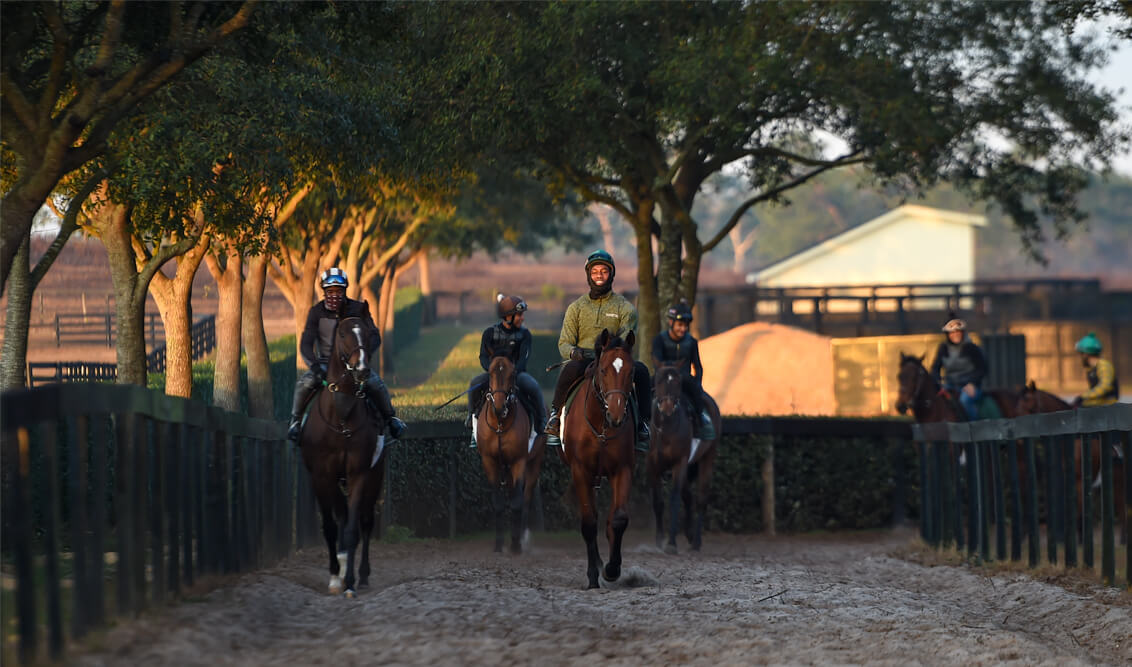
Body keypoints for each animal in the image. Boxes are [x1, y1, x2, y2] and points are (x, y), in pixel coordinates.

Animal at [298, 314, 387, 593]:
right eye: (344, 334)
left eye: (367, 333)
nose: (362, 369)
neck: (341, 418)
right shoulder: (321, 476)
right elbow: (330, 526)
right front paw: (335, 576)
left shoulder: (359, 472)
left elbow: (351, 530)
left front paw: (349, 582)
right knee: (342, 515)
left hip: (375, 476)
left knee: (365, 522)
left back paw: (363, 574)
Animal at [473, 351, 547, 554]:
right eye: (491, 372)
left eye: (512, 373)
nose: (499, 406)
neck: (500, 423)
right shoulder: (490, 461)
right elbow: (498, 503)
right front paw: (498, 544)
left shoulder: (518, 460)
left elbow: (517, 502)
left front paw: (515, 544)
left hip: (534, 461)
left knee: (526, 497)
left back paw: (522, 537)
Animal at [561, 328, 642, 588]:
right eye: (604, 370)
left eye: (631, 371)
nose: (616, 414)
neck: (602, 426)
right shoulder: (580, 470)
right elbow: (588, 523)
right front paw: (593, 576)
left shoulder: (623, 468)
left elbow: (618, 519)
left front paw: (612, 569)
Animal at [652, 362, 719, 554]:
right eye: (659, 380)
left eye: (677, 382)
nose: (667, 406)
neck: (667, 429)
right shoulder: (653, 465)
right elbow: (657, 501)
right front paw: (659, 540)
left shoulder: (679, 463)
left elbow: (674, 499)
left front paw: (671, 543)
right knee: (688, 497)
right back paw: (689, 535)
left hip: (707, 457)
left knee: (700, 499)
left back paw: (696, 541)